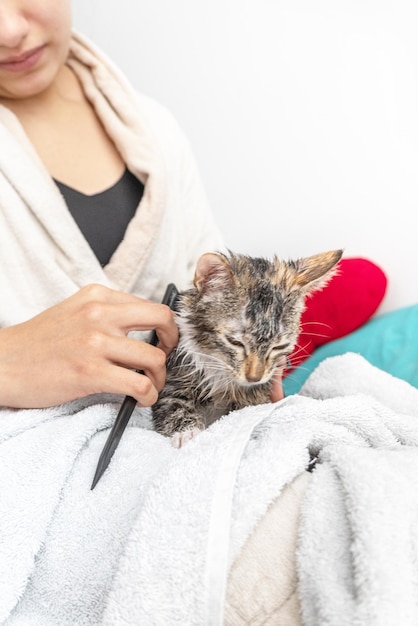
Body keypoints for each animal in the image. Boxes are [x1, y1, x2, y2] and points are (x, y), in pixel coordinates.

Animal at [152, 246, 342, 446]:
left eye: (278, 347)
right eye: (235, 342)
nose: (254, 378)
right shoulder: (175, 370)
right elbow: (172, 402)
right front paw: (187, 433)